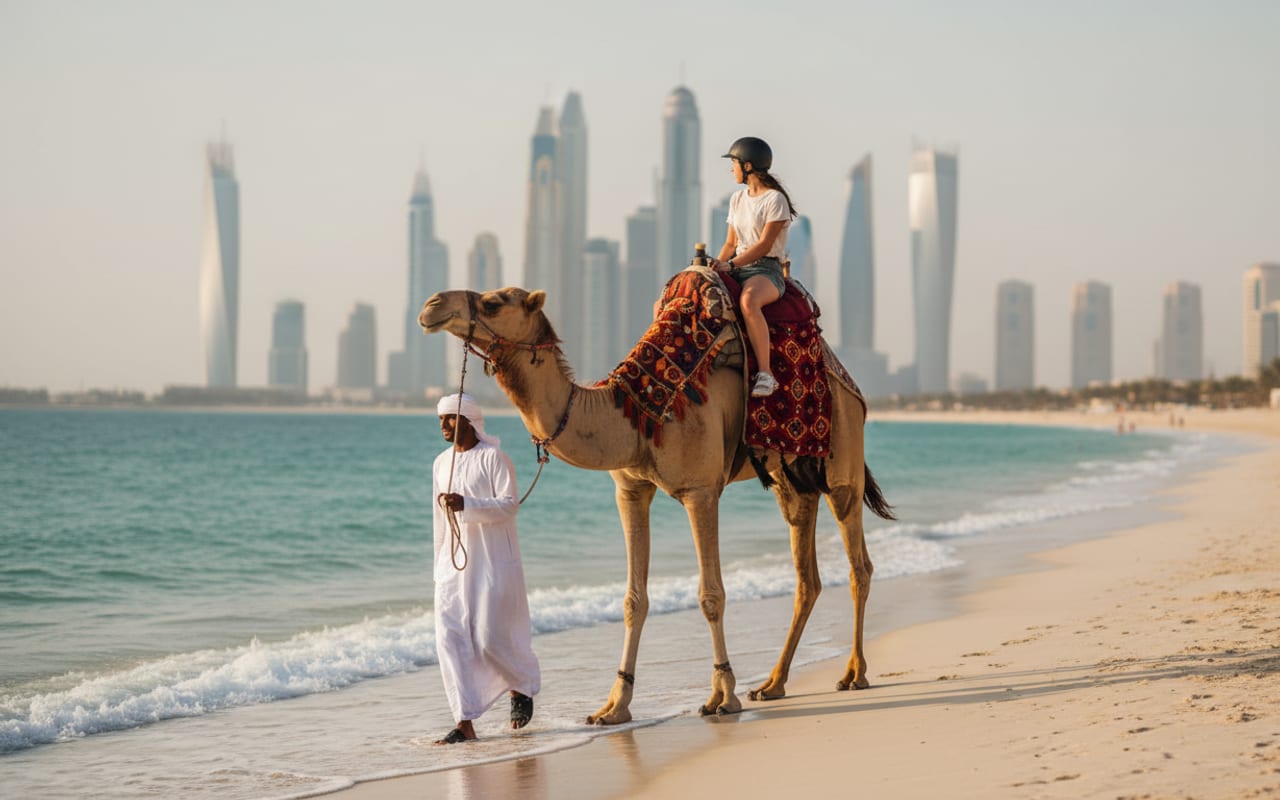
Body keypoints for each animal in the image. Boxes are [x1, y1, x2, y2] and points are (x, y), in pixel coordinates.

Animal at [419, 282, 895, 725]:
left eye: (493, 301)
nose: (431, 305)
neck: (634, 416)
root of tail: (847, 381)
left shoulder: (701, 490)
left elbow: (711, 594)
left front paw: (722, 697)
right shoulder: (630, 490)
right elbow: (634, 600)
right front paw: (614, 706)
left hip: (842, 461)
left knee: (859, 564)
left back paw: (853, 674)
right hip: (791, 480)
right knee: (806, 576)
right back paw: (772, 684)